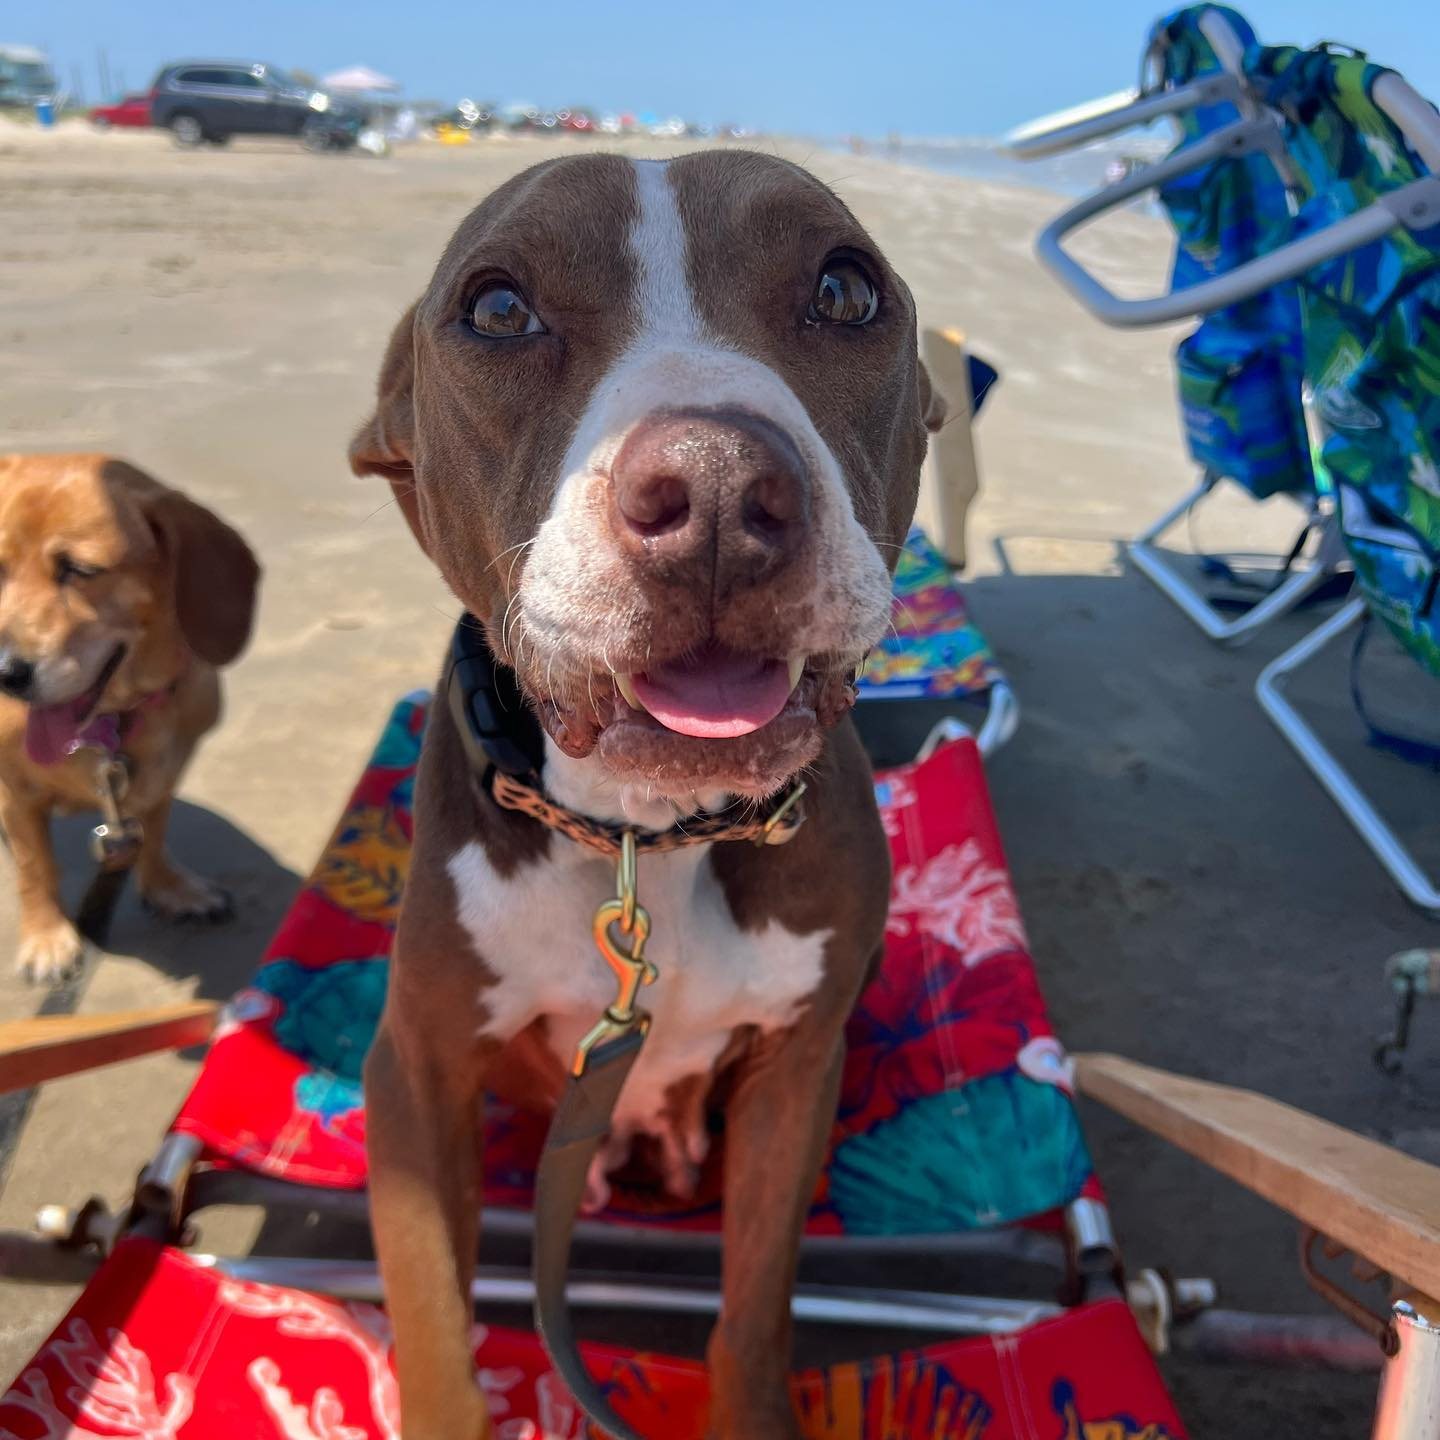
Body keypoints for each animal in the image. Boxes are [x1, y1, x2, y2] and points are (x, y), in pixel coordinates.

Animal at [348, 151, 944, 1434]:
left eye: (846, 290)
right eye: (497, 309)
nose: (718, 488)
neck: (644, 835)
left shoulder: (794, 1080)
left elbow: (754, 1309)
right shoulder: (414, 1077)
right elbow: (432, 1319)